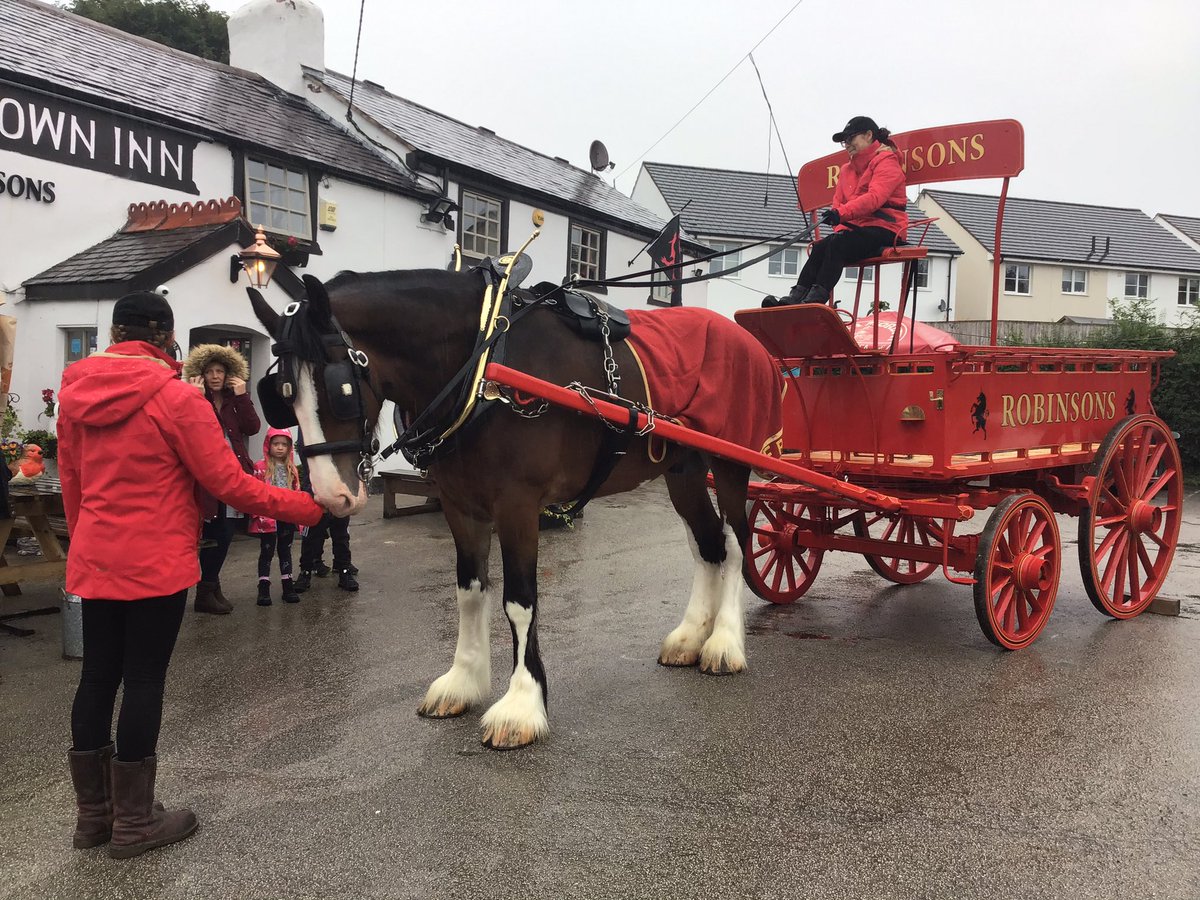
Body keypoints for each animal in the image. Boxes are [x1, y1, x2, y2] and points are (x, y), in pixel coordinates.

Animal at [250, 271, 777, 748]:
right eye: (280, 395)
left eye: (338, 386)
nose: (330, 495)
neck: (484, 363)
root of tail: (750, 342)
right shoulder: (461, 506)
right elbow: (469, 592)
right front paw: (463, 681)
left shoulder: (518, 506)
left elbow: (519, 602)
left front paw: (522, 704)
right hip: (682, 470)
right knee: (708, 546)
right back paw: (690, 638)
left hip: (730, 464)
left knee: (734, 543)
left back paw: (724, 642)